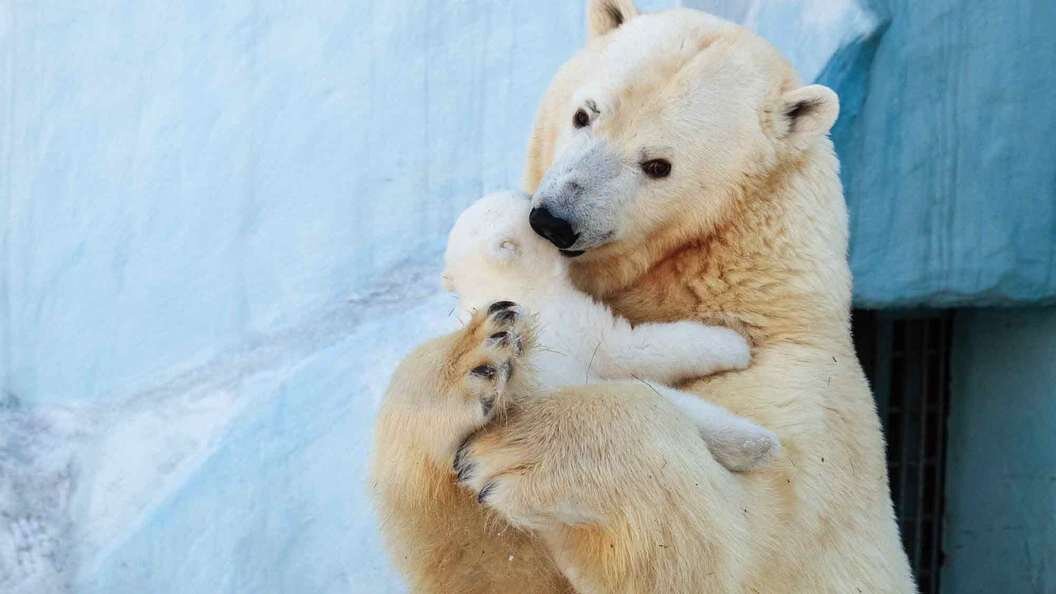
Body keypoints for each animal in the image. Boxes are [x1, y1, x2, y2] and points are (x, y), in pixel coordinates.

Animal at [375, 2, 912, 587]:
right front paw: (474, 361)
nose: (555, 219)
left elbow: (732, 544)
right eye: (584, 114)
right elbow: (484, 562)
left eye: (658, 165)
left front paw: (514, 453)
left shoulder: (802, 387)